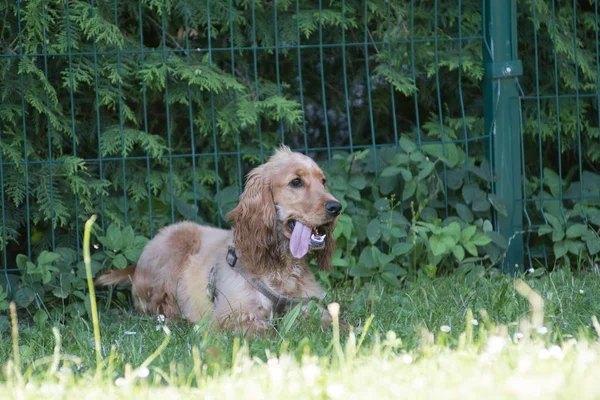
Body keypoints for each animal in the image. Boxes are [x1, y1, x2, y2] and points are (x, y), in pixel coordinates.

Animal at [98, 145, 342, 336]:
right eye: (296, 182)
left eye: (323, 181)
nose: (336, 207)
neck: (280, 266)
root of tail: (135, 267)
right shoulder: (234, 315)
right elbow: (269, 333)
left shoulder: (307, 306)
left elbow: (337, 323)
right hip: (177, 239)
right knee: (153, 307)